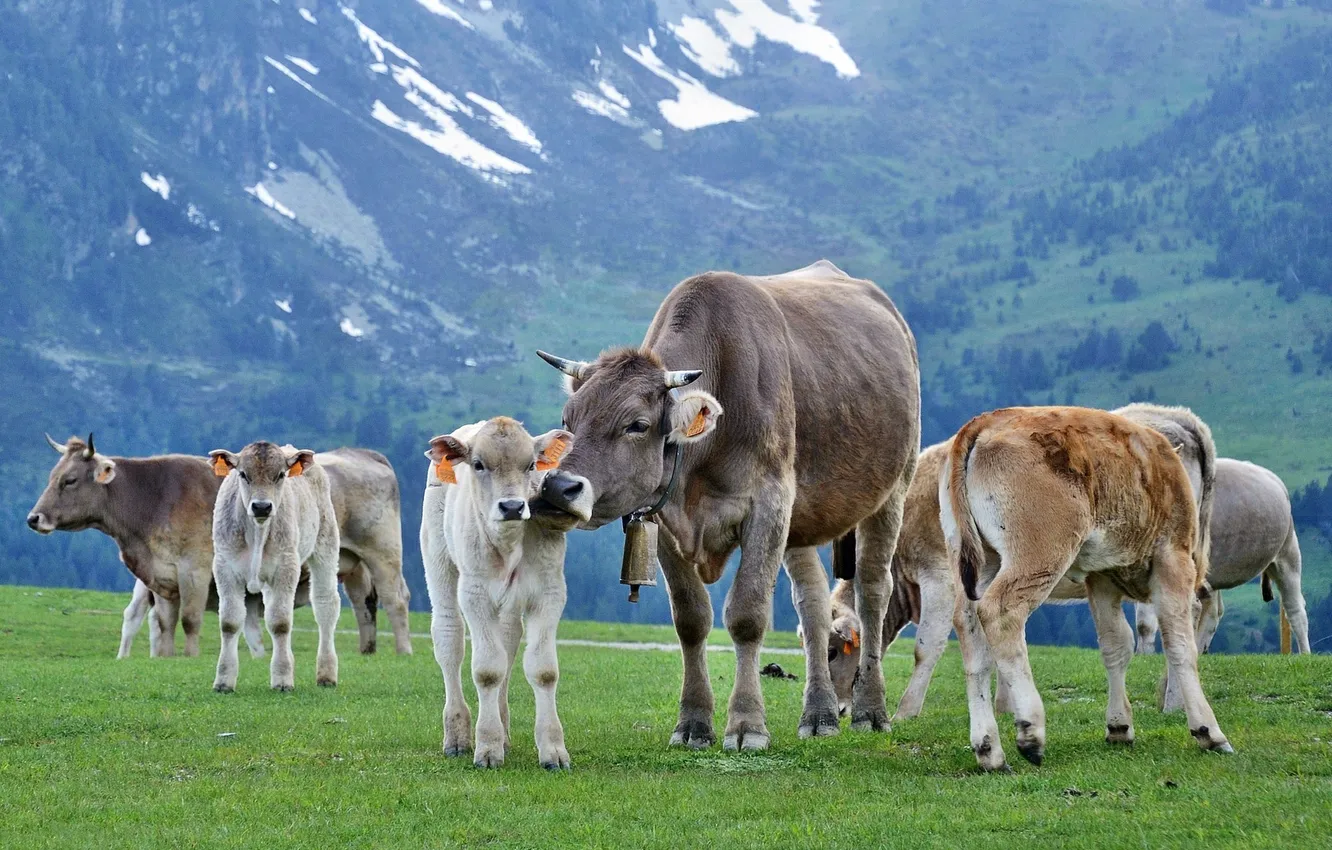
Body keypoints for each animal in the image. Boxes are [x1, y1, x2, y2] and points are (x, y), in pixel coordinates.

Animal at [28, 436, 413, 657]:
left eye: (70, 480)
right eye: (52, 477)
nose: (34, 518)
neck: (153, 498)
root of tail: (365, 454)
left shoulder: (195, 569)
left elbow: (190, 619)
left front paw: (191, 656)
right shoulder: (161, 577)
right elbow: (164, 622)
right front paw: (165, 657)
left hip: (382, 553)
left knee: (395, 599)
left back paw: (402, 651)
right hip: (351, 563)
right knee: (363, 604)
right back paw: (366, 650)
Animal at [209, 441, 340, 692]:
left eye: (280, 475)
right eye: (243, 474)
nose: (261, 507)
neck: (257, 533)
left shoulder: (286, 567)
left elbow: (280, 623)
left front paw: (282, 679)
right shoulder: (224, 567)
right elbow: (229, 622)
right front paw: (223, 681)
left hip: (326, 545)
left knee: (325, 605)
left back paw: (326, 675)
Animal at [422, 418, 576, 769]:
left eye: (531, 465)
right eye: (478, 464)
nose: (512, 506)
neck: (508, 544)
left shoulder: (550, 592)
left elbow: (543, 670)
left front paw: (553, 750)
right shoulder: (475, 593)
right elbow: (488, 670)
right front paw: (488, 748)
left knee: (508, 639)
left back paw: (504, 731)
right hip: (438, 560)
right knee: (448, 637)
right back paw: (458, 735)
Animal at [533, 260, 921, 750]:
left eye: (636, 424)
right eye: (568, 419)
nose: (557, 487)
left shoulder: (768, 505)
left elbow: (747, 615)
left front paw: (747, 724)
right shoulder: (664, 517)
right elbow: (691, 618)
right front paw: (693, 723)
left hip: (892, 492)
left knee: (873, 593)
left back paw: (870, 710)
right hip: (802, 521)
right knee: (812, 604)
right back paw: (820, 715)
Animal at [941, 406, 1231, 771]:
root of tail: (987, 420)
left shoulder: (1101, 576)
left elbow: (1116, 645)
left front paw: (1119, 726)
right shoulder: (1172, 559)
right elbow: (1180, 645)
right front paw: (1208, 731)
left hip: (976, 562)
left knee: (970, 632)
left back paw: (989, 750)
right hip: (1039, 554)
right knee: (1001, 614)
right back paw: (1030, 733)